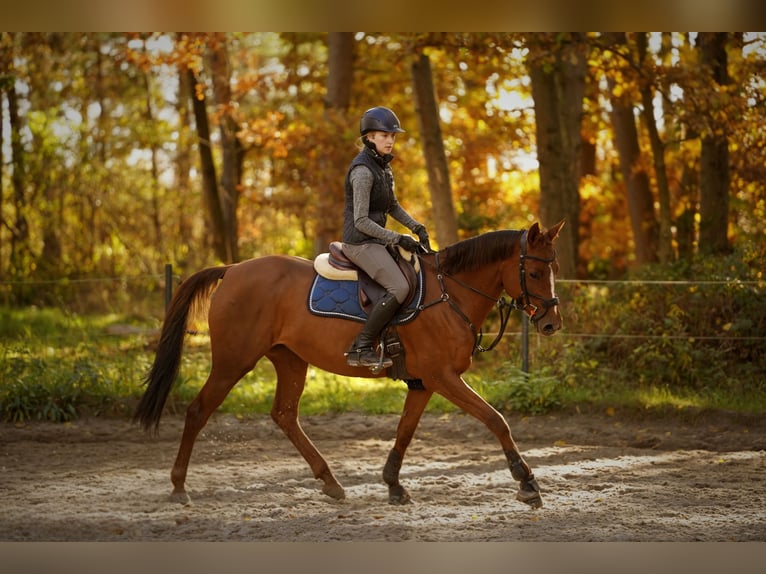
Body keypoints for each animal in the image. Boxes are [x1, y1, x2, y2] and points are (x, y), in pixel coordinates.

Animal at [134, 220, 564, 509]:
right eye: (535, 272)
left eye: (554, 270)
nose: (551, 324)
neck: (449, 294)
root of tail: (234, 268)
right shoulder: (443, 377)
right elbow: (496, 420)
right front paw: (527, 483)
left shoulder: (425, 382)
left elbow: (405, 432)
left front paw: (393, 485)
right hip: (233, 360)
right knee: (198, 411)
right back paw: (179, 486)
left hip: (290, 360)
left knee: (284, 415)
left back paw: (330, 482)